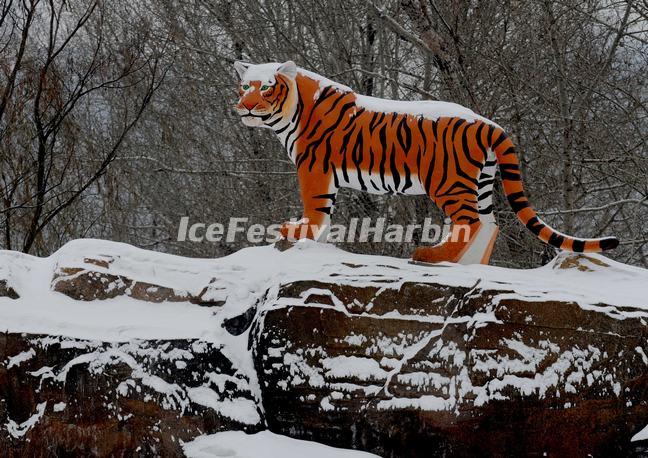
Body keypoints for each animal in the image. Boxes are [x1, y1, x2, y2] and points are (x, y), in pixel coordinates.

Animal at [232, 60, 616, 264]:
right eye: (244, 87)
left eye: (266, 87)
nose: (245, 106)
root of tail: (488, 123)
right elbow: (324, 212)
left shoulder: (314, 168)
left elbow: (316, 207)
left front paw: (297, 233)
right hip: (480, 182)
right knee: (489, 225)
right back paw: (469, 264)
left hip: (449, 182)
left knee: (470, 223)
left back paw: (433, 255)